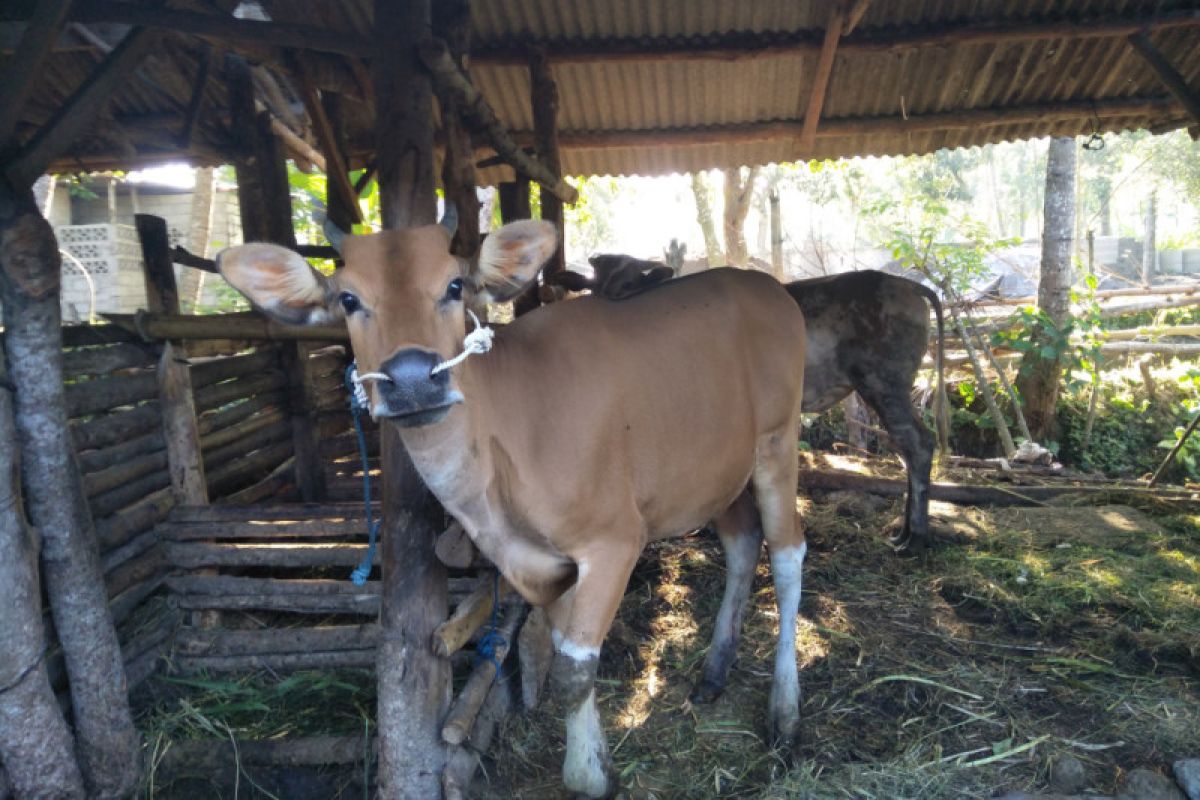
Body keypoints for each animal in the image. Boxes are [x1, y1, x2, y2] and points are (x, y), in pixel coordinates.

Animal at [220, 209, 811, 796]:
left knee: (787, 555)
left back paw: (785, 714)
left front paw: (587, 777)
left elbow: (573, 674)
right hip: (718, 471)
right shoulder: (545, 564)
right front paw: (597, 759)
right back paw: (715, 672)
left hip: (777, 443)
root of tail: (762, 284)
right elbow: (566, 654)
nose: (413, 382)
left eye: (454, 286)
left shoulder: (614, 541)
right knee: (743, 545)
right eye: (347, 298)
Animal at [559, 256, 945, 551]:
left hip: (884, 383)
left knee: (918, 444)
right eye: (592, 285)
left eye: (630, 281)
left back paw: (914, 537)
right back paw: (904, 532)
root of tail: (910, 287)